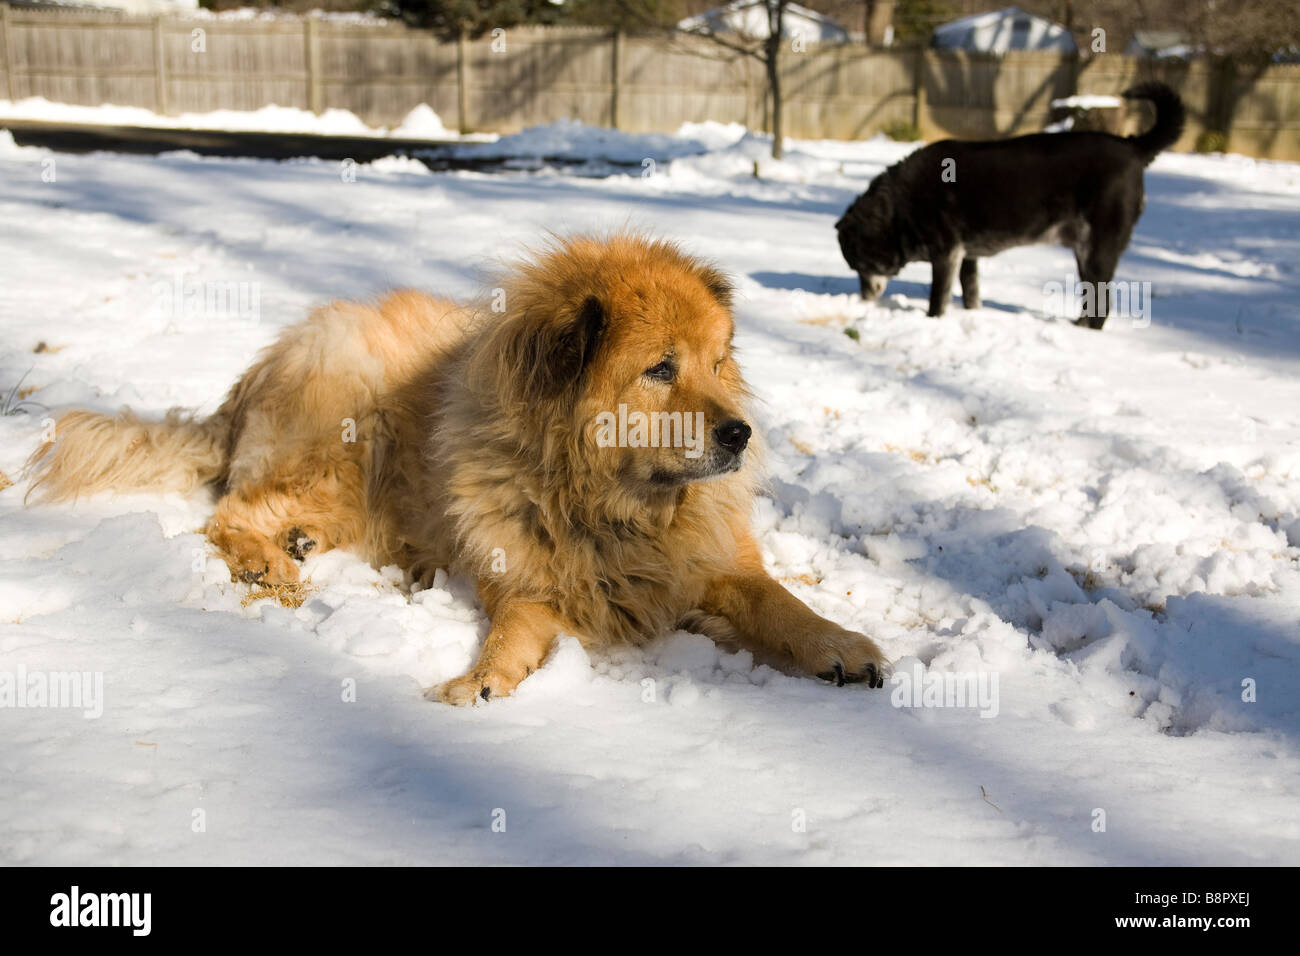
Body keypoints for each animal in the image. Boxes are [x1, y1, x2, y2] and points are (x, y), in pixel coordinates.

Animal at [30, 238, 889, 702]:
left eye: (717, 364)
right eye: (660, 369)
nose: (741, 434)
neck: (610, 508)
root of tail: (260, 367)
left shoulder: (717, 565)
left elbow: (782, 603)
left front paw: (843, 645)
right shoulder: (524, 583)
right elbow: (509, 635)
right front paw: (479, 679)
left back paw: (299, 544)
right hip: (347, 439)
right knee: (229, 514)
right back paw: (269, 565)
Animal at [837, 83, 1185, 329]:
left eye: (859, 265)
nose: (863, 299)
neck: (899, 207)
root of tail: (1133, 146)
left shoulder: (945, 253)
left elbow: (938, 299)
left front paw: (932, 321)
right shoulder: (967, 256)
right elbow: (971, 293)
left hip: (1098, 248)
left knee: (1102, 305)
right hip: (1084, 250)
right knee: (1091, 300)